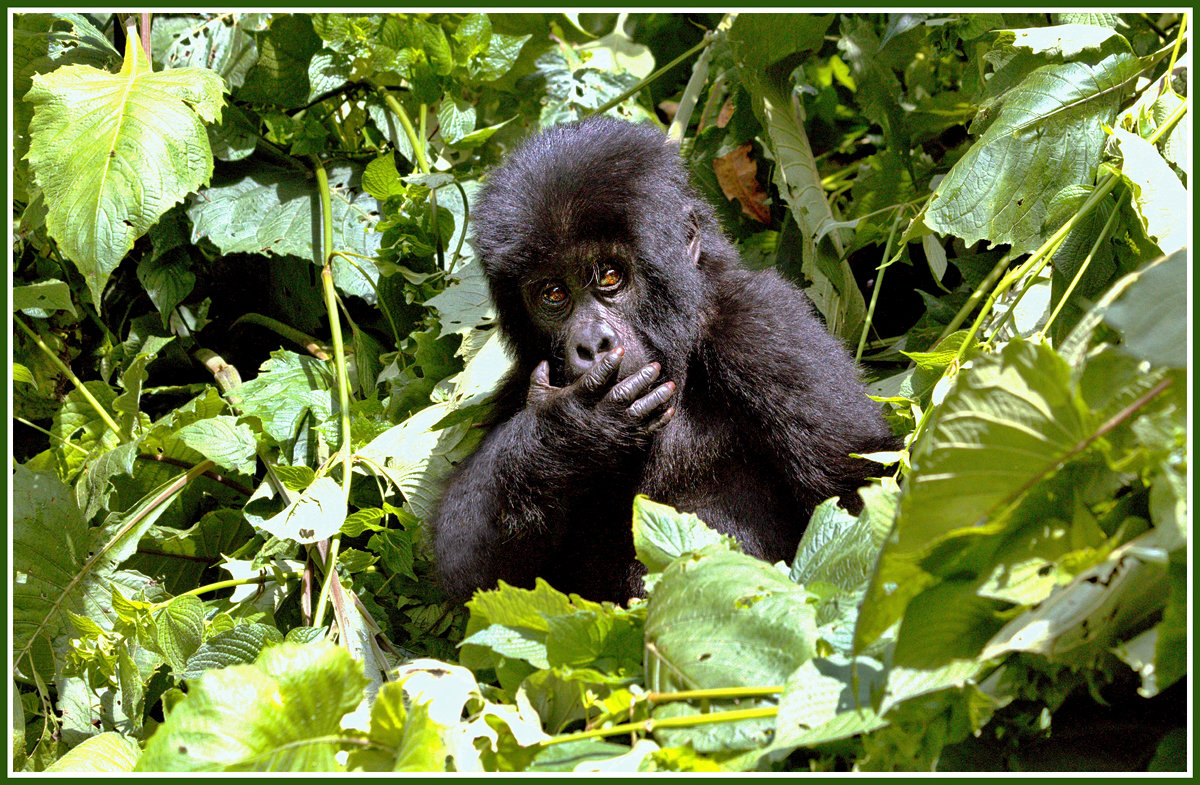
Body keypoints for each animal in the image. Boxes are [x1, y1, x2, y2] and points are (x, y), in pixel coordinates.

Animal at [429, 117, 892, 604]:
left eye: (610, 276)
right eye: (553, 294)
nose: (591, 344)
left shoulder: (765, 327)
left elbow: (860, 492)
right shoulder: (521, 380)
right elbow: (469, 565)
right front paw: (569, 430)